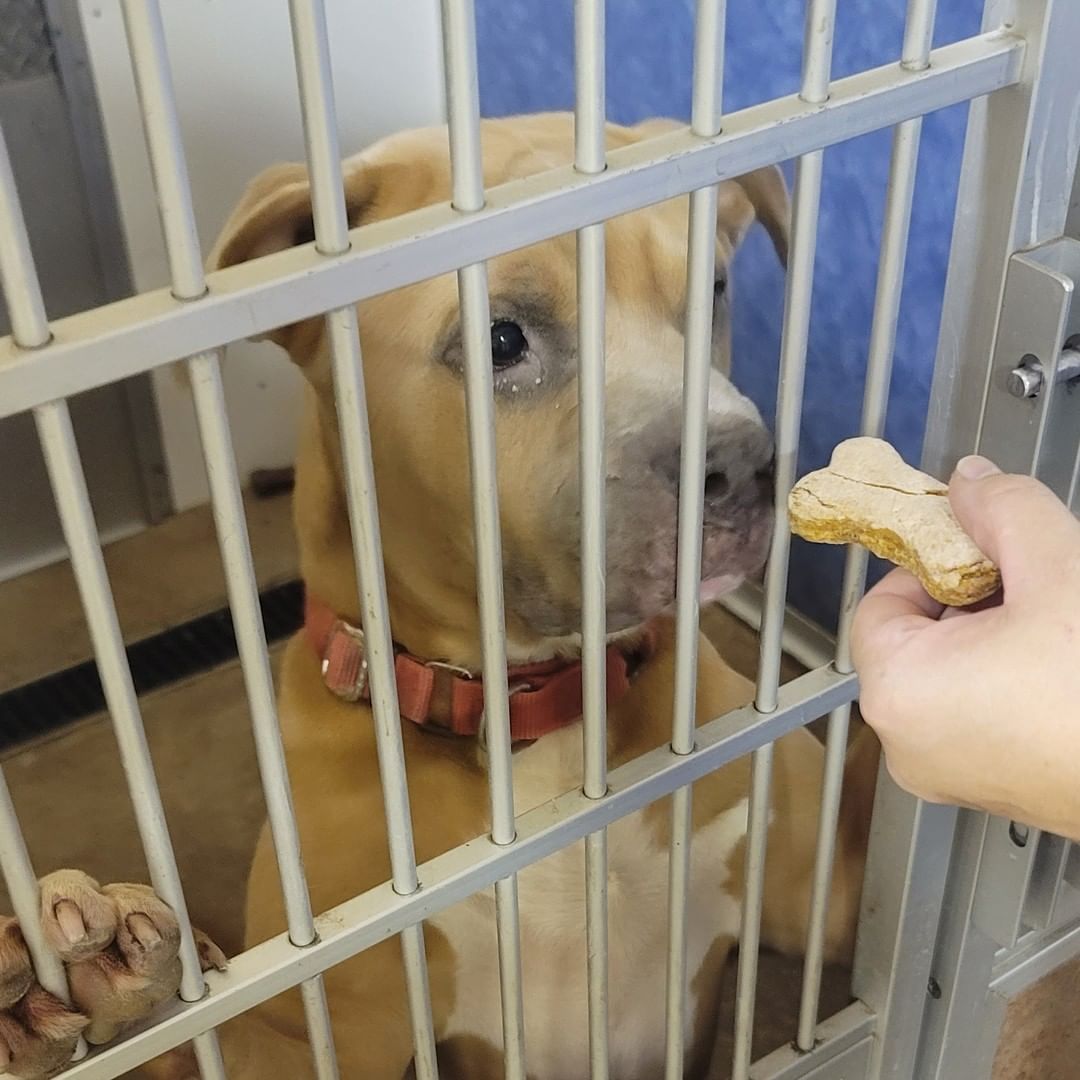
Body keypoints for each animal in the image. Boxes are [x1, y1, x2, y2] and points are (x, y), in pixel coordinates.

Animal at [0, 111, 876, 1080]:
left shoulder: (825, 891)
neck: (538, 710)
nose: (743, 467)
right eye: (501, 340)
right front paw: (104, 983)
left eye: (714, 290)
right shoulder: (314, 1032)